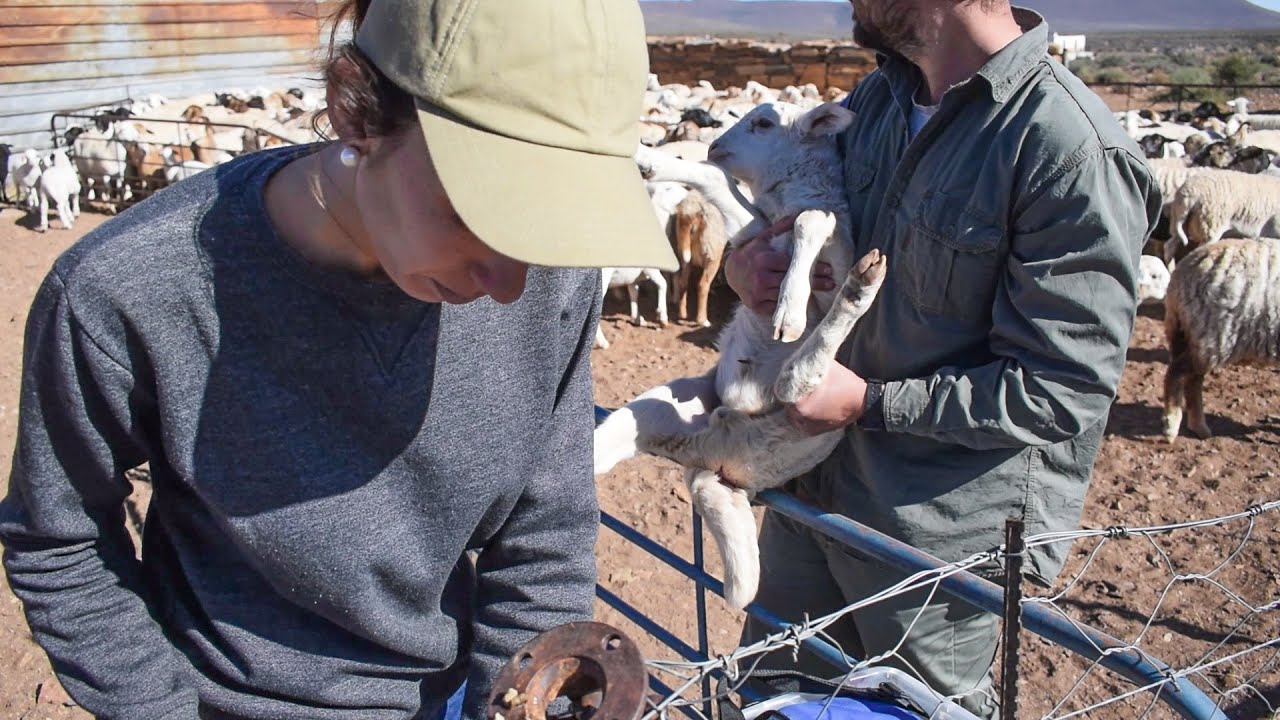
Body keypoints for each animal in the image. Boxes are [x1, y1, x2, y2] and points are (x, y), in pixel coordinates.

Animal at [595, 102, 886, 608]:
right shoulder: (753, 233)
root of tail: (713, 464)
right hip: (654, 415)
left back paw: (856, 293)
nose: (714, 145)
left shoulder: (830, 263)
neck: (789, 197)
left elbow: (813, 221)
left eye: (764, 124)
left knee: (800, 376)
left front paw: (789, 308)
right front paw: (651, 161)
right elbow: (716, 182)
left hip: (800, 411)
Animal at [1162, 237, 1280, 442]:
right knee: (1176, 373)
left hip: (1193, 335)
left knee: (1193, 380)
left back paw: (1199, 427)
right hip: (1212, 337)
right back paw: (1172, 426)